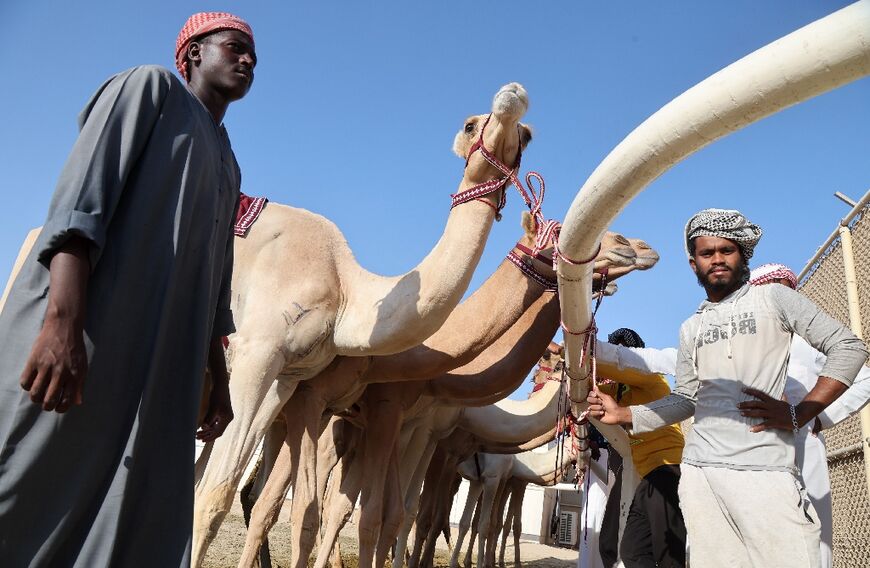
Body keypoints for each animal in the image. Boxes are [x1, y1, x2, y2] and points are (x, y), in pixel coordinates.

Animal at [193, 80, 540, 564]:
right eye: (470, 125)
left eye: (526, 137)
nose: (513, 95)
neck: (346, 292)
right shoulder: (256, 352)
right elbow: (214, 496)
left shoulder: (288, 375)